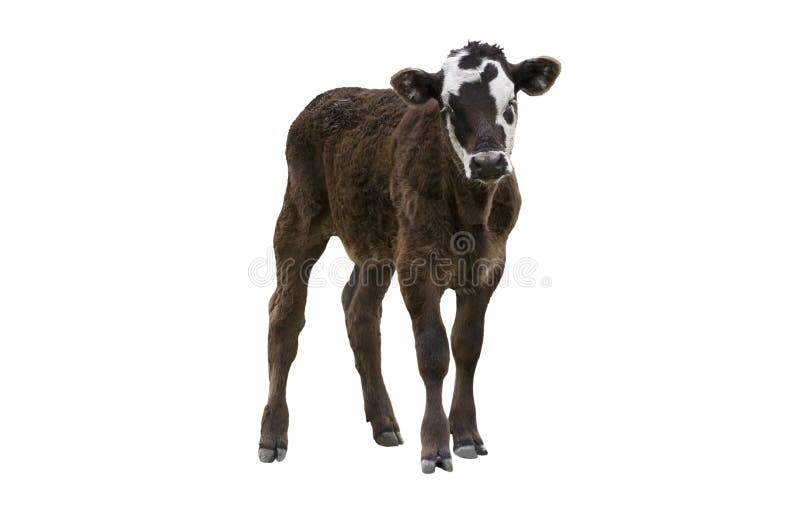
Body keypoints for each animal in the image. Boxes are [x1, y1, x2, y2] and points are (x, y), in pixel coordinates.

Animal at [258, 41, 560, 473]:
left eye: (512, 101)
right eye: (447, 106)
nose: (488, 162)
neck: (470, 213)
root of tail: (328, 98)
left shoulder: (490, 266)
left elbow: (468, 346)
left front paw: (466, 434)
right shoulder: (417, 266)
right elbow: (433, 353)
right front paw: (435, 447)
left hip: (376, 245)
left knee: (360, 311)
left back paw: (384, 422)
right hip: (298, 218)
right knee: (284, 317)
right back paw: (272, 435)